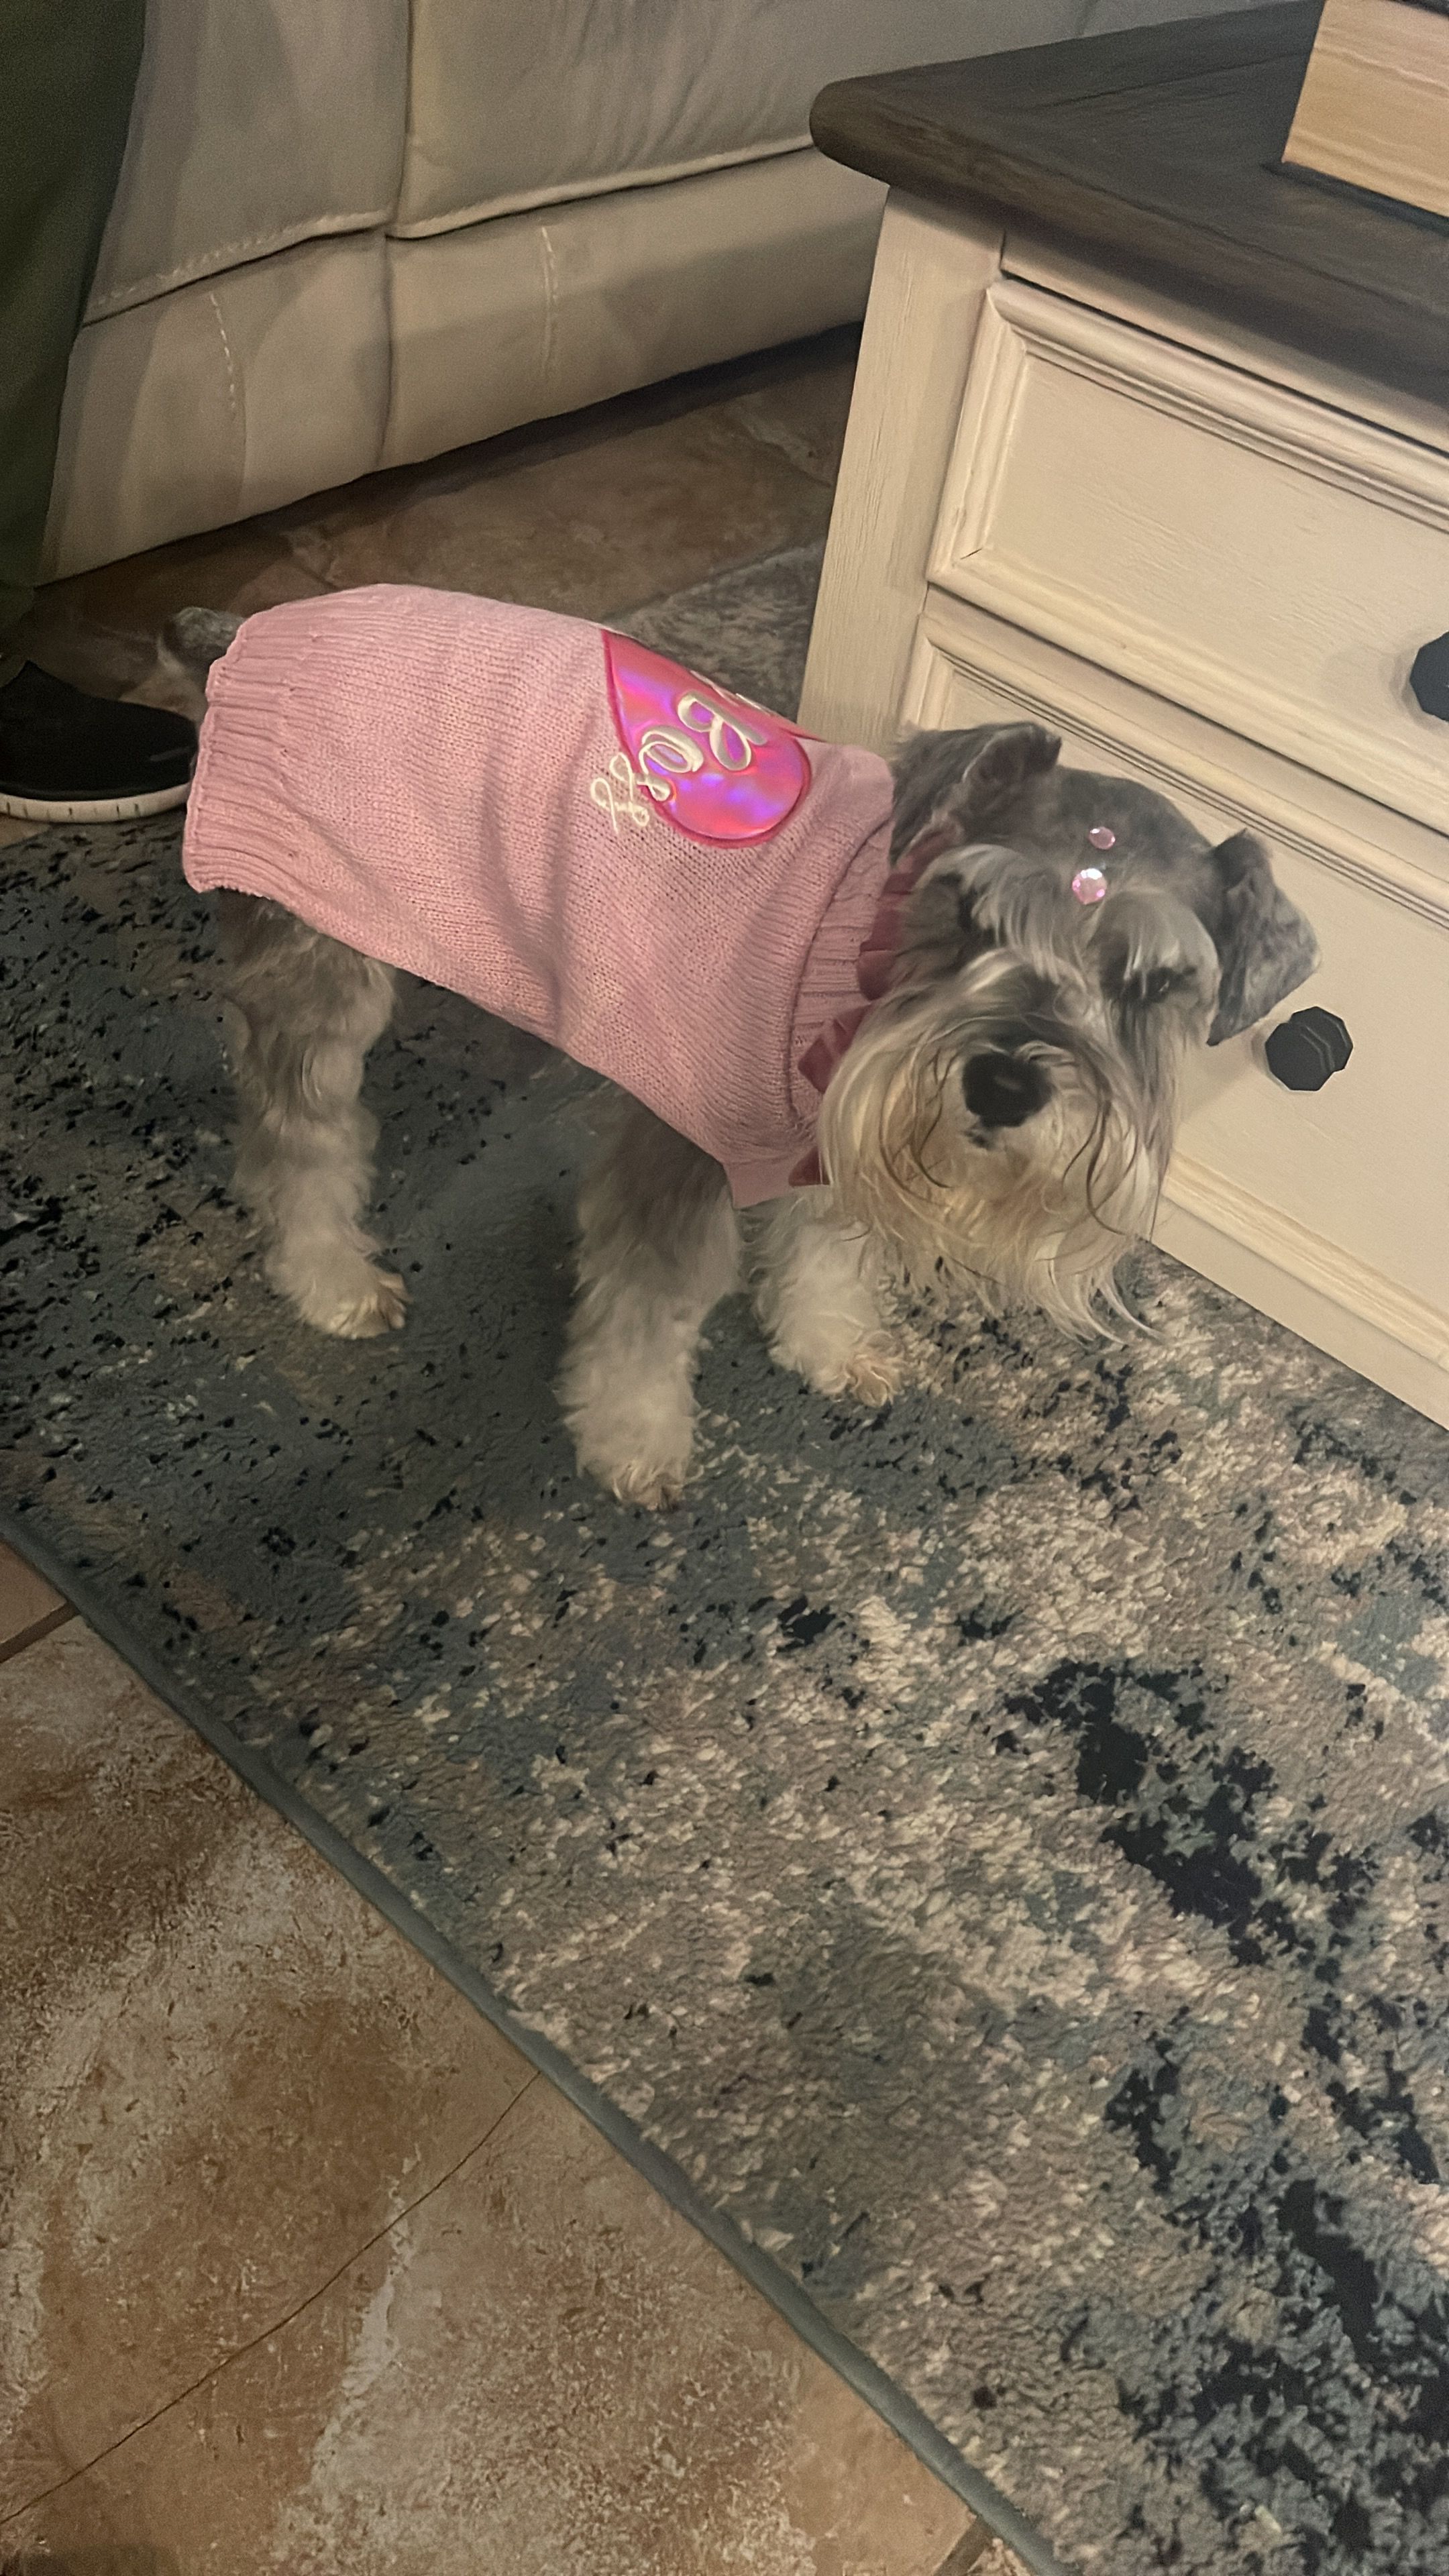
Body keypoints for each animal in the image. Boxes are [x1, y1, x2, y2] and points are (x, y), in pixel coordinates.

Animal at [156, 593, 1317, 1506]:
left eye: (1154, 985)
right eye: (972, 911)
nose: (1002, 1081)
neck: (868, 945)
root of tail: (252, 632)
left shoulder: (836, 1133)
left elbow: (827, 1250)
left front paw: (829, 1347)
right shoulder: (682, 1152)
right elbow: (649, 1313)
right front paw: (635, 1446)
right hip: (326, 972)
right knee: (298, 1140)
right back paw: (331, 1280)